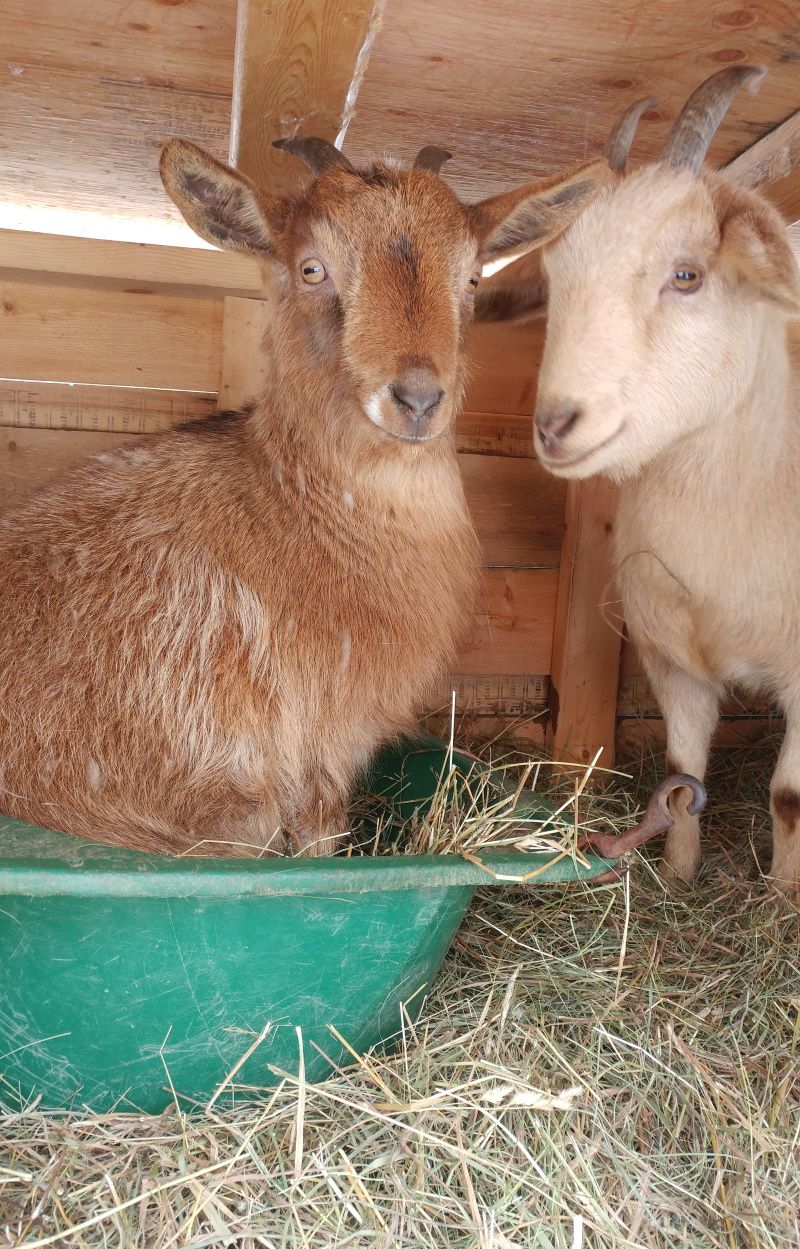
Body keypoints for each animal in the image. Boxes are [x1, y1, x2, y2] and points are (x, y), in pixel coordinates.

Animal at [0, 137, 609, 857]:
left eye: (471, 280)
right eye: (311, 268)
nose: (417, 399)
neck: (299, 513)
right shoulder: (319, 738)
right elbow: (320, 842)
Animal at [480, 66, 800, 896]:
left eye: (687, 274)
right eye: (554, 280)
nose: (556, 423)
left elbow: (788, 798)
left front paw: (782, 901)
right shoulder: (669, 655)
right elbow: (684, 777)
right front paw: (680, 878)